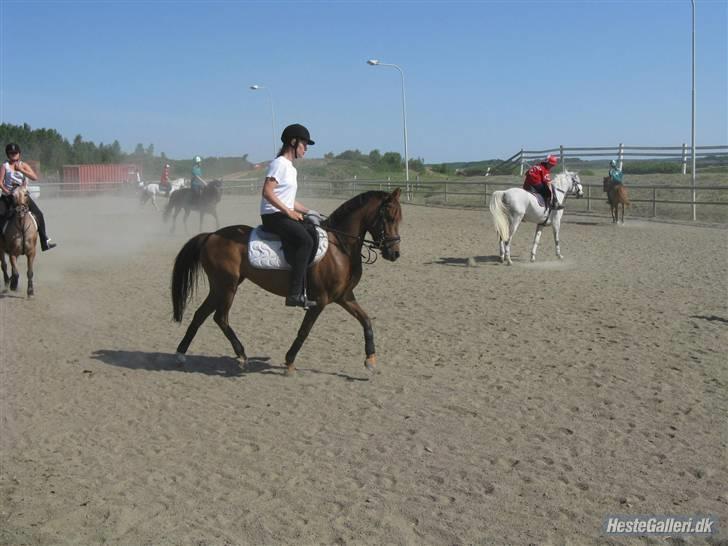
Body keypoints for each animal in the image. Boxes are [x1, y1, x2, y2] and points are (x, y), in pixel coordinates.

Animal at [173, 188, 406, 374]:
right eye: (389, 217)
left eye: (399, 219)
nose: (394, 253)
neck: (340, 246)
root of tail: (211, 235)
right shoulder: (320, 300)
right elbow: (304, 330)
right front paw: (289, 362)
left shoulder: (344, 297)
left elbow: (366, 321)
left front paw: (370, 360)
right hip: (227, 286)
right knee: (220, 317)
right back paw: (241, 355)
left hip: (221, 286)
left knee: (201, 314)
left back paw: (181, 354)